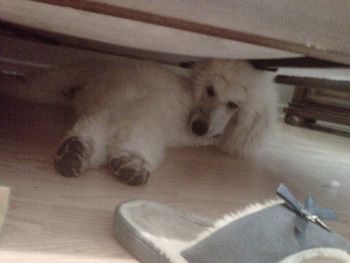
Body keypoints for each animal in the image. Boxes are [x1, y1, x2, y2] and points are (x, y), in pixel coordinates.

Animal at [50, 58, 276, 186]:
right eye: (210, 90)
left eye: (233, 105)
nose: (197, 127)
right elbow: (214, 138)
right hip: (146, 124)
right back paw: (129, 164)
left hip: (109, 115)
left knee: (92, 128)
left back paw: (75, 152)